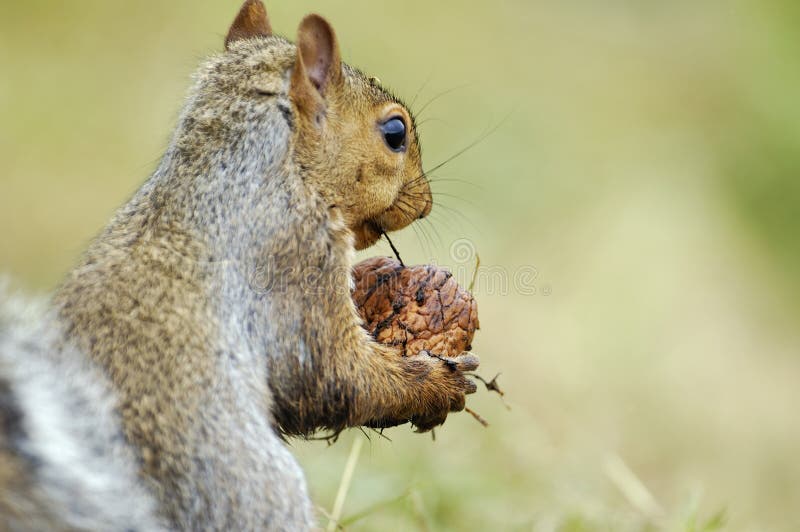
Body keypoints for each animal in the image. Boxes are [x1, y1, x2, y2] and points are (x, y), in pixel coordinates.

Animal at [0, 1, 480, 530]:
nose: (425, 202)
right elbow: (333, 378)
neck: (241, 178)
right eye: (395, 133)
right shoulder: (295, 265)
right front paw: (439, 383)